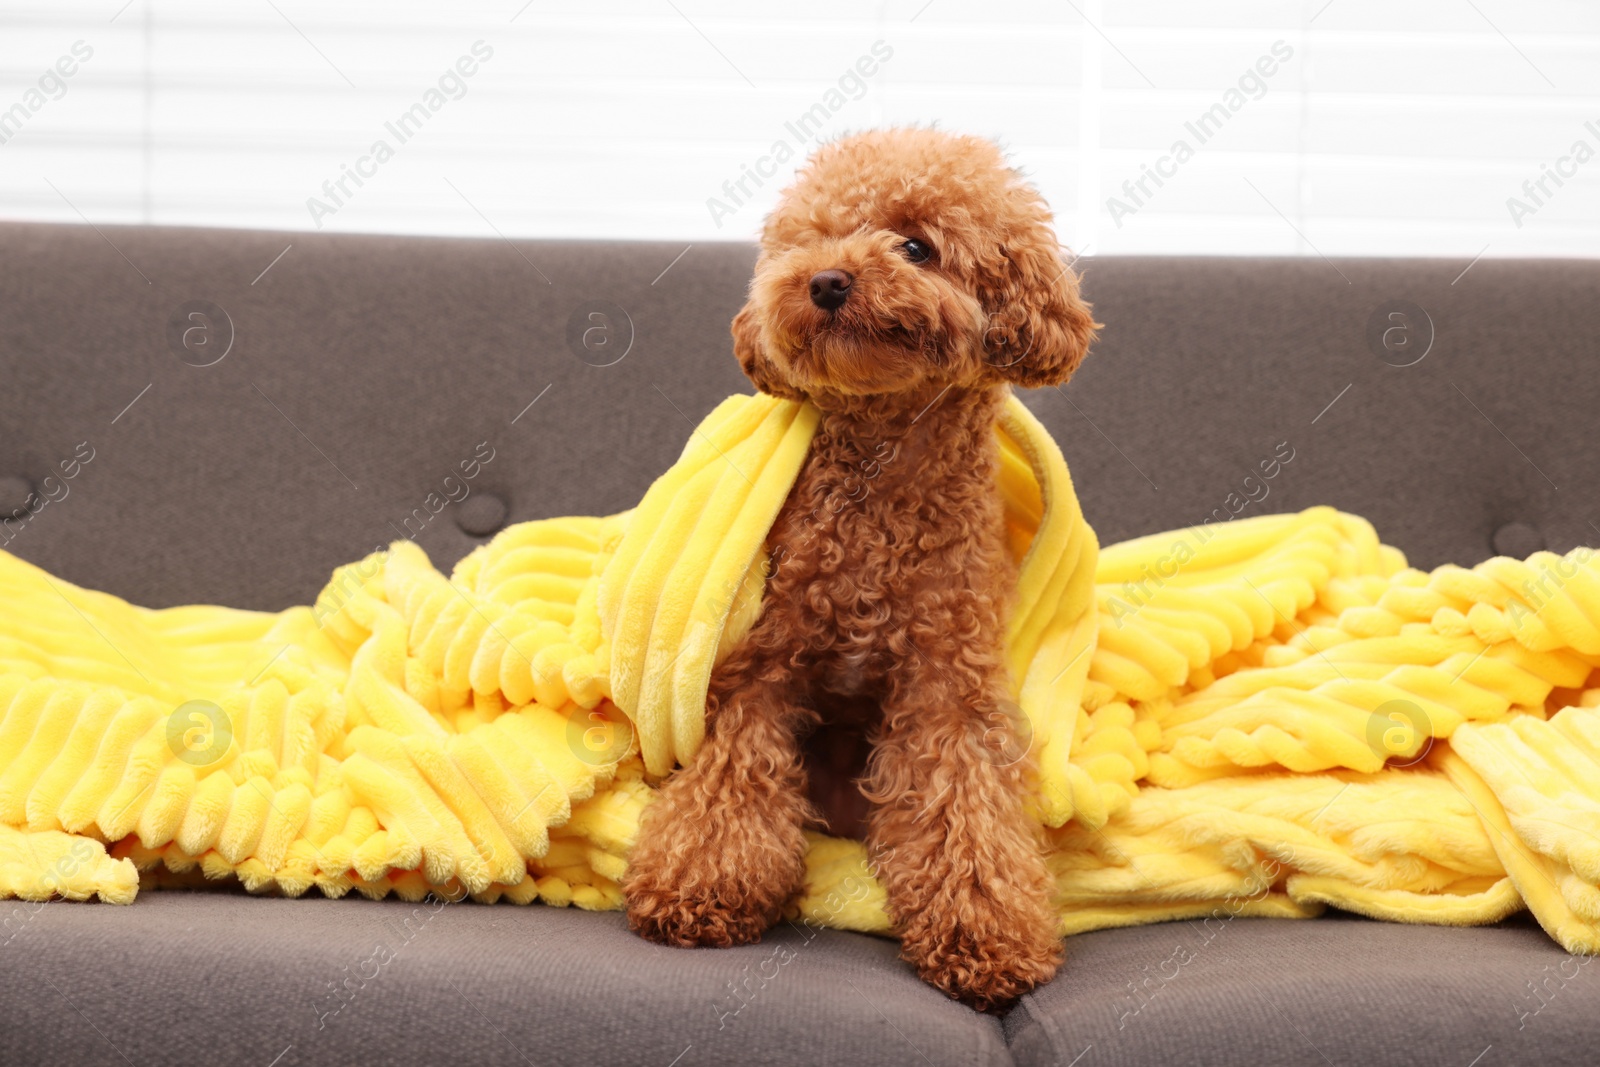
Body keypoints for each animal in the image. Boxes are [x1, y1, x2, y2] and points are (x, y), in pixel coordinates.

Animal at [624, 125, 1100, 1011]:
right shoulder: (759, 667)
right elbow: (727, 783)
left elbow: (963, 810)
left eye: (916, 246)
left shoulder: (947, 682)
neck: (882, 479)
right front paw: (697, 887)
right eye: (809, 239)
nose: (825, 281)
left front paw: (986, 938)